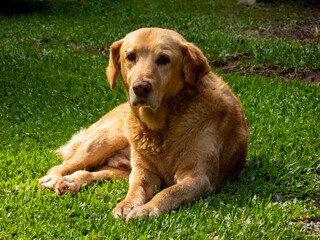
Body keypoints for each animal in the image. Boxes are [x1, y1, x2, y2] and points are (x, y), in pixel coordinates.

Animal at [37, 27, 249, 220]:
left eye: (164, 59)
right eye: (131, 56)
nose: (140, 87)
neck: (160, 126)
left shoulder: (197, 177)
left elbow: (168, 192)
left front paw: (146, 209)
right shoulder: (143, 172)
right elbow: (135, 190)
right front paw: (127, 205)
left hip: (121, 169)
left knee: (93, 172)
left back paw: (70, 182)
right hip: (106, 141)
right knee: (61, 166)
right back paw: (55, 179)